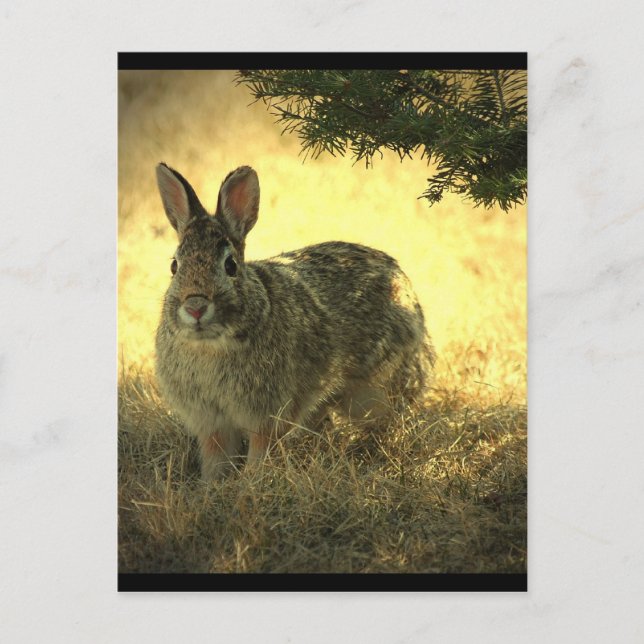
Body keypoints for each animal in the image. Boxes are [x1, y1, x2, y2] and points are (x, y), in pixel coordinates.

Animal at [154, 163, 435, 481]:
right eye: (174, 266)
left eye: (230, 266)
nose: (195, 307)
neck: (211, 345)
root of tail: (406, 288)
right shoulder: (211, 421)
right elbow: (216, 455)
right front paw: (213, 485)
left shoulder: (269, 413)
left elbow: (261, 448)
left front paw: (253, 480)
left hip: (373, 392)